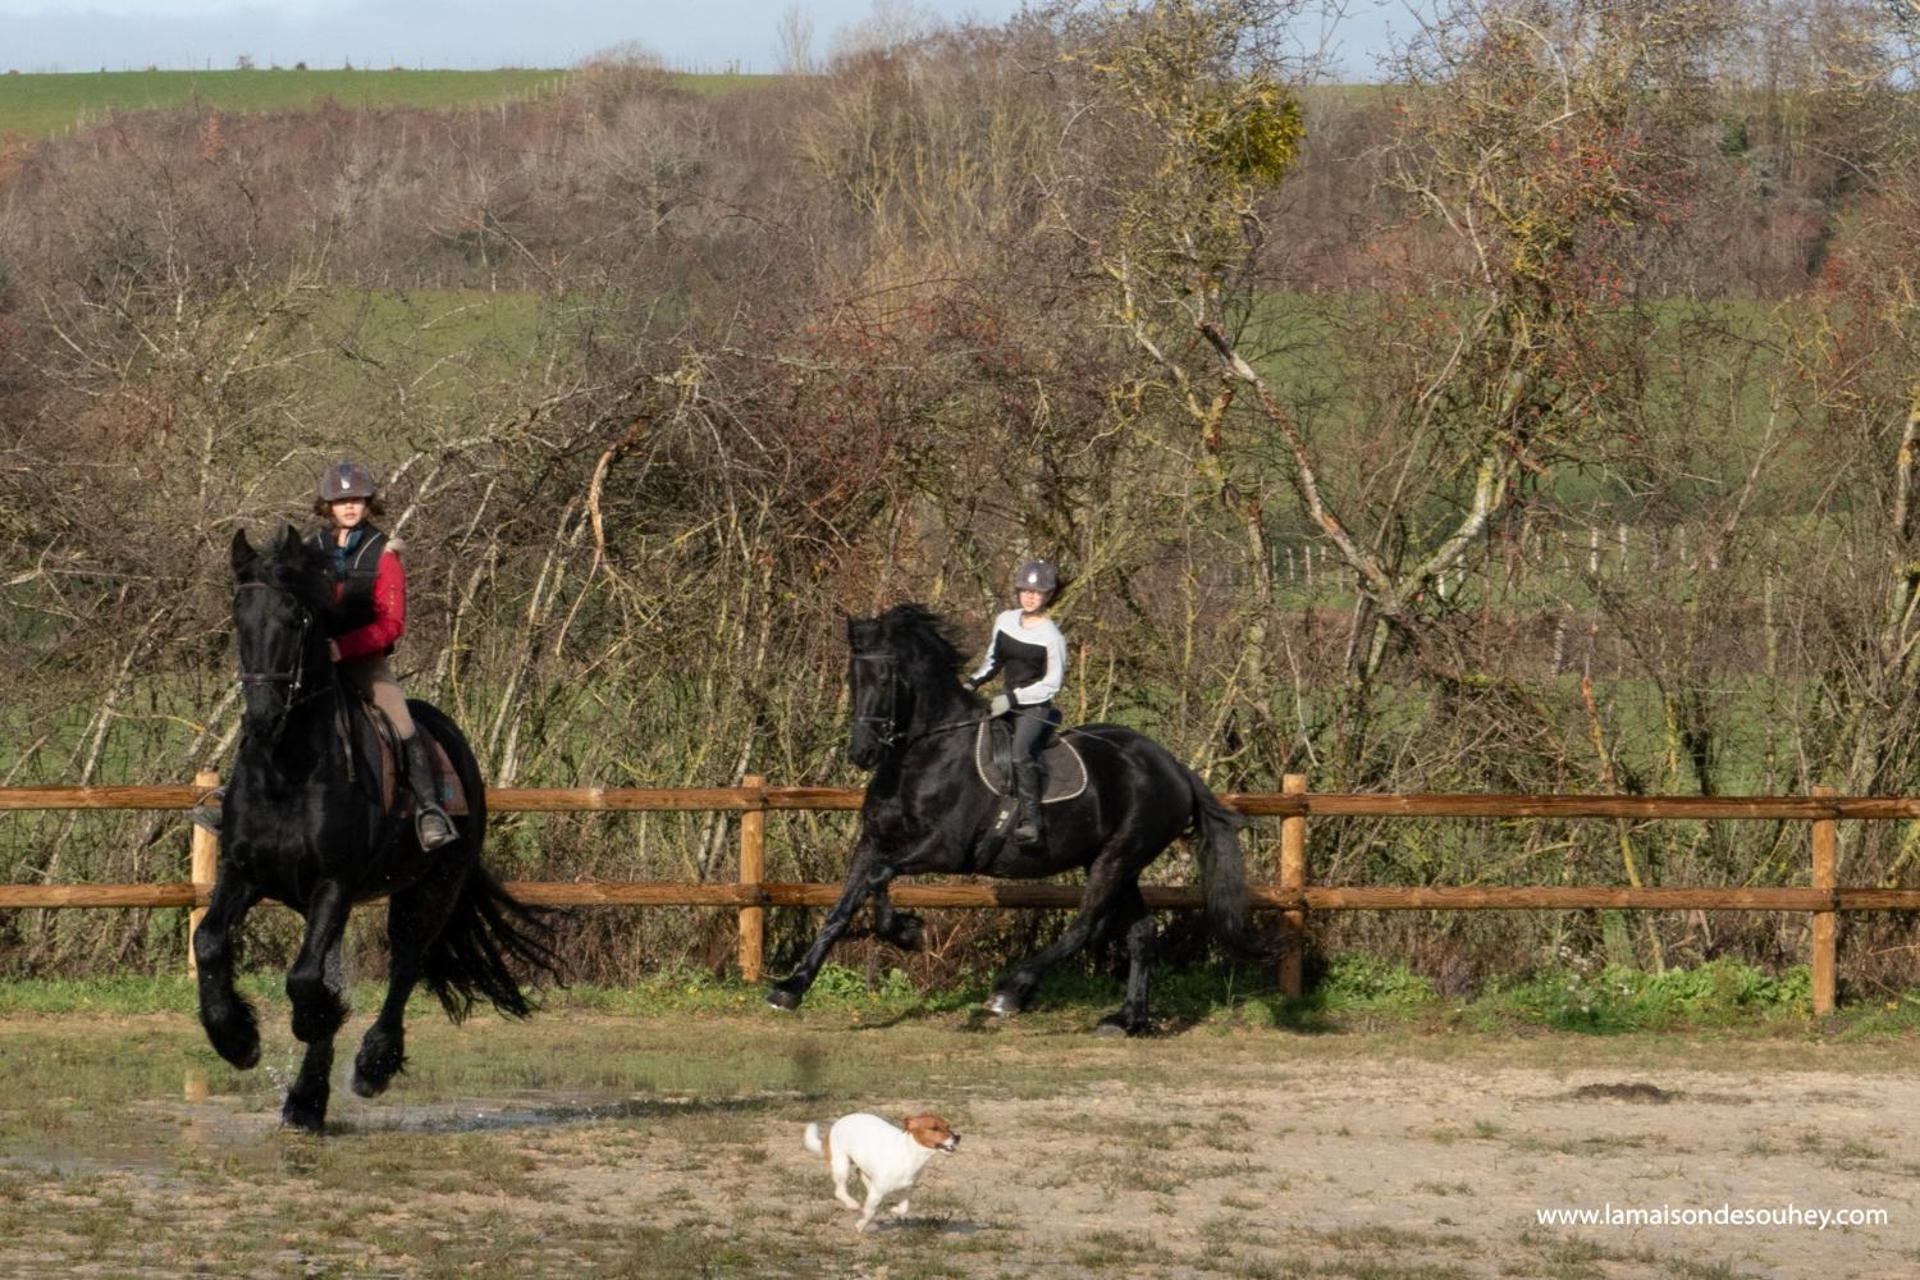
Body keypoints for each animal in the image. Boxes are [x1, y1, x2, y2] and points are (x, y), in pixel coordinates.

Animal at [198, 529, 560, 1128]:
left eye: (295, 617)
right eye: (238, 614)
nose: (262, 718)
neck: (287, 768)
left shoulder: (336, 883)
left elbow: (304, 979)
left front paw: (312, 1022)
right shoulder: (244, 873)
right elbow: (209, 942)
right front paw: (236, 1039)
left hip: (430, 892)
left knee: (405, 965)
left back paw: (371, 1066)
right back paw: (306, 1101)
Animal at [771, 606, 1251, 1036]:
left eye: (886, 678)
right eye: (853, 678)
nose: (862, 753)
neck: (924, 754)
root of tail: (1175, 767)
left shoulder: (945, 850)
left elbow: (878, 879)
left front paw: (907, 932)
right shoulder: (872, 842)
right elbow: (845, 905)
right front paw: (791, 988)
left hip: (1115, 860)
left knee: (1084, 926)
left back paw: (1012, 992)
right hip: (1119, 864)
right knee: (1141, 933)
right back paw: (1127, 1020)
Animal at [802, 1113, 960, 1228]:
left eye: (948, 1126)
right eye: (934, 1128)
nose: (958, 1137)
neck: (910, 1155)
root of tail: (840, 1121)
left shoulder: (906, 1189)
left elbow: (904, 1207)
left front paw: (894, 1210)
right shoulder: (877, 1192)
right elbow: (870, 1212)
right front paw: (860, 1225)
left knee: (861, 1175)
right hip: (841, 1165)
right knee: (840, 1191)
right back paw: (852, 1204)